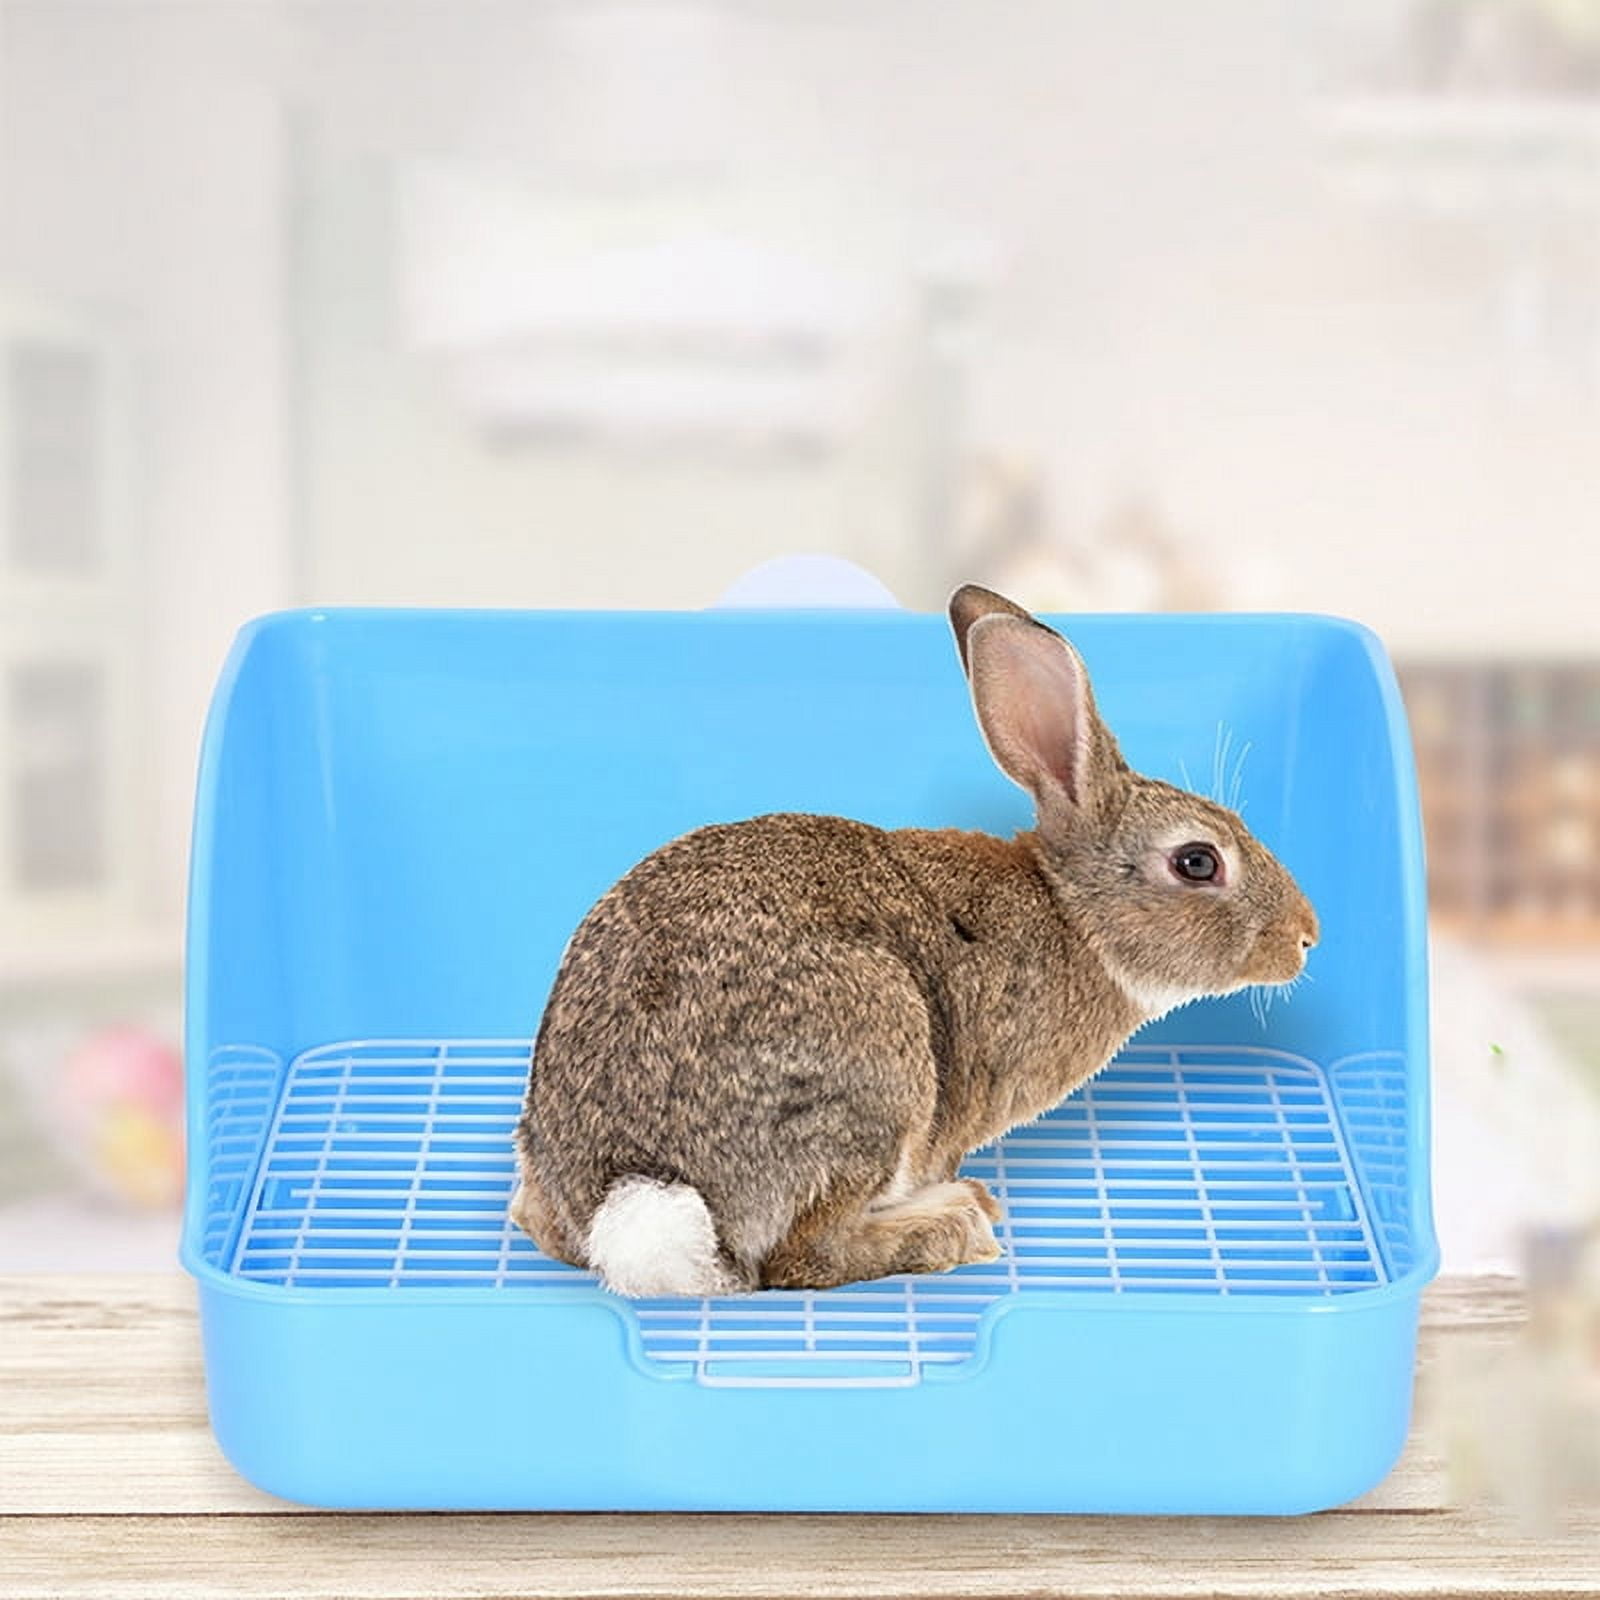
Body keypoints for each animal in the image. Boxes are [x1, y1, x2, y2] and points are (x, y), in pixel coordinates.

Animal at [510, 584, 1319, 1296]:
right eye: (1198, 862)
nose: (1306, 936)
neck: (1071, 911)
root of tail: (635, 1190)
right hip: (877, 1068)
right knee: (801, 1257)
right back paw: (954, 1222)